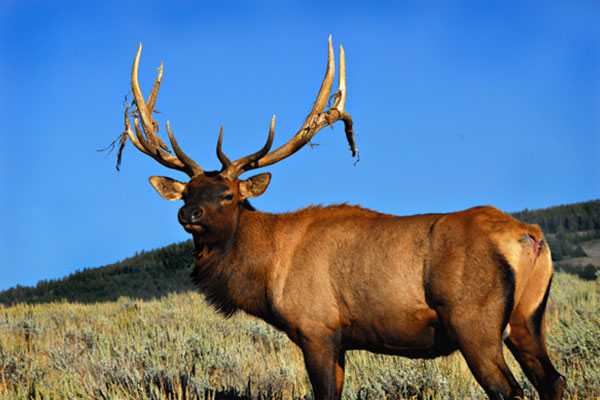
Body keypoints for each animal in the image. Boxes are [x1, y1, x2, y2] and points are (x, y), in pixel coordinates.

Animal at [116, 38, 568, 400]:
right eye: (187, 192)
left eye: (228, 195)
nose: (188, 213)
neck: (266, 273)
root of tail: (529, 236)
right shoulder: (342, 341)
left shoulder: (317, 329)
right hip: (528, 319)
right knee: (553, 380)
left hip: (473, 320)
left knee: (509, 390)